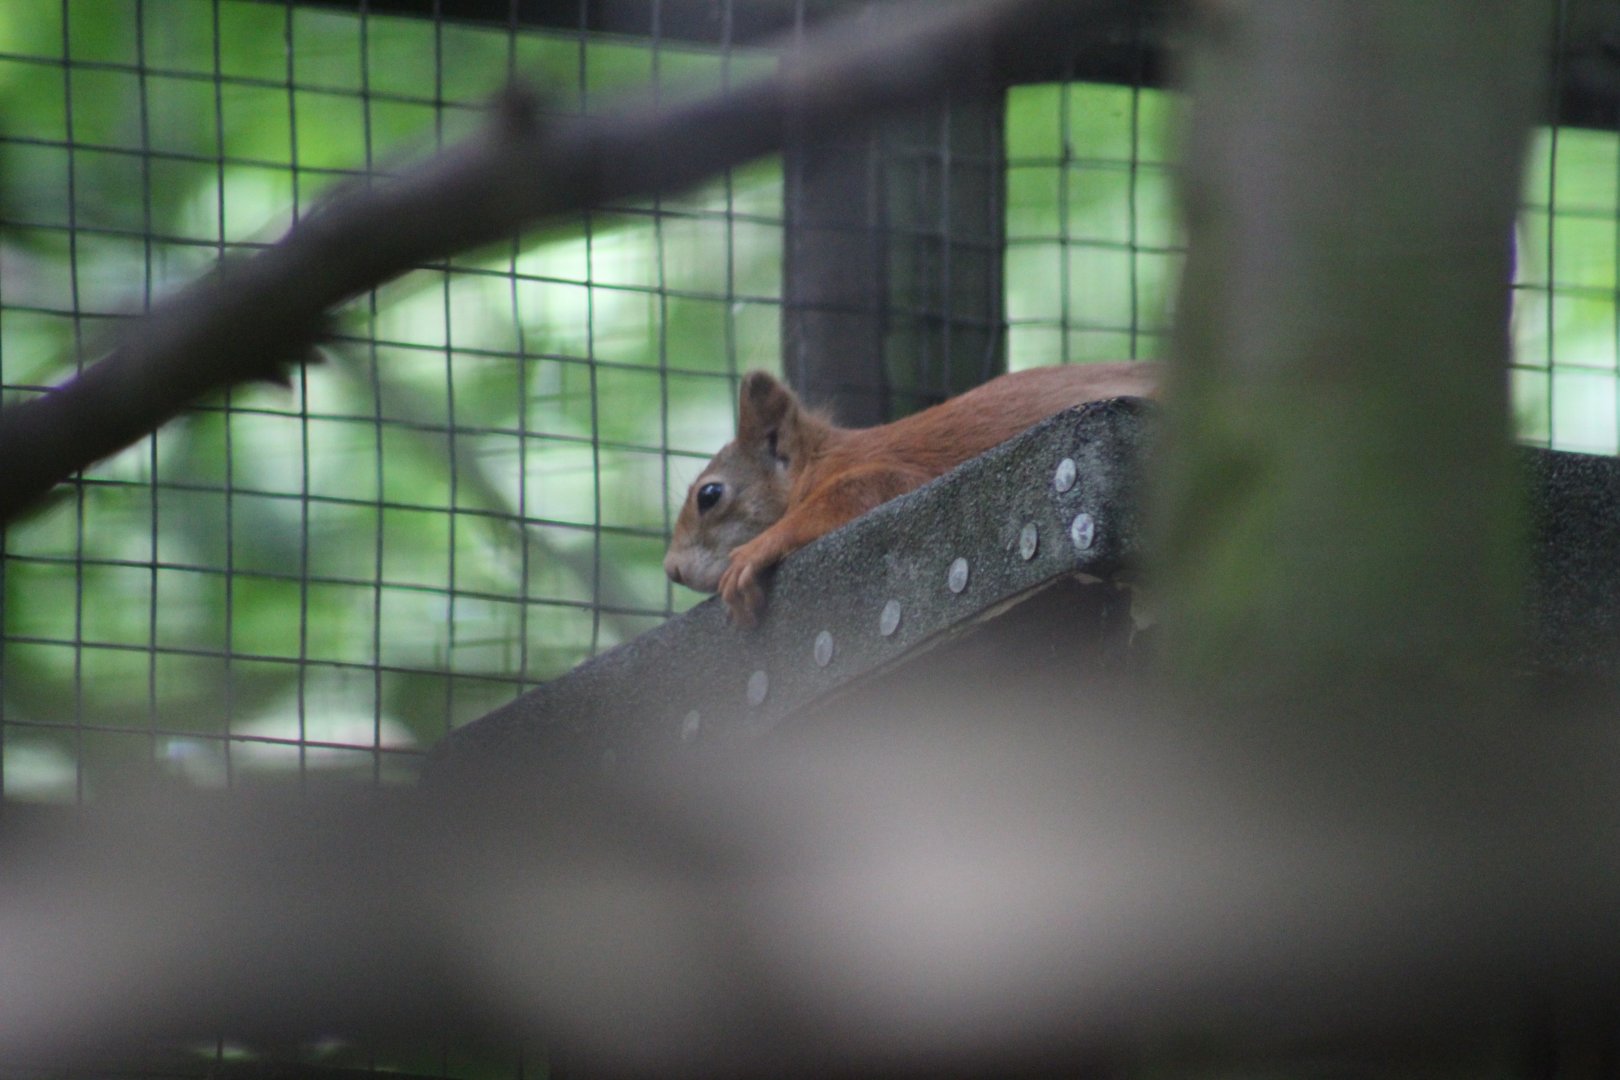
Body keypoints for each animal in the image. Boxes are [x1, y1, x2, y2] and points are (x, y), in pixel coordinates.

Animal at [664, 363, 1162, 627]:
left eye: (710, 495)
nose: (672, 570)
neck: (819, 462)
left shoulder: (893, 475)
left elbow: (857, 494)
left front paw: (754, 552)